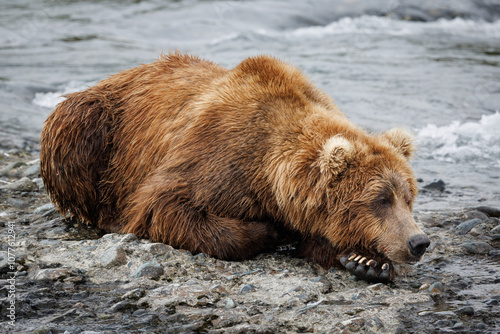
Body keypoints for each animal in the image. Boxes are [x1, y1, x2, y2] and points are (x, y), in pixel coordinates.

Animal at [40, 53, 430, 284]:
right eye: (380, 199)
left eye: (408, 197)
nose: (419, 241)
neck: (269, 174)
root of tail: (123, 72)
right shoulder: (216, 156)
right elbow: (164, 207)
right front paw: (268, 231)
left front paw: (366, 261)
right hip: (98, 123)